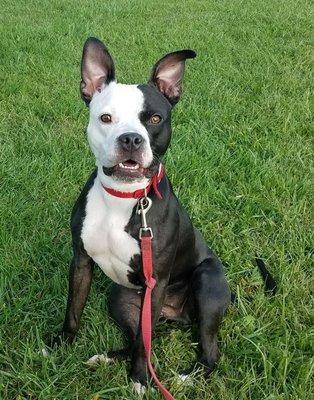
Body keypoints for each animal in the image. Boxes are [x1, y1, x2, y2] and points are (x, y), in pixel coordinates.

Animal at [57, 38, 232, 394]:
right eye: (105, 118)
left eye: (153, 118)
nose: (130, 139)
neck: (122, 198)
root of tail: (173, 314)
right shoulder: (80, 261)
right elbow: (73, 310)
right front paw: (60, 345)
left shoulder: (156, 281)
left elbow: (144, 345)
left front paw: (139, 379)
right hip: (121, 298)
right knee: (137, 336)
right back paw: (108, 357)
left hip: (206, 285)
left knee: (207, 351)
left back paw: (186, 376)